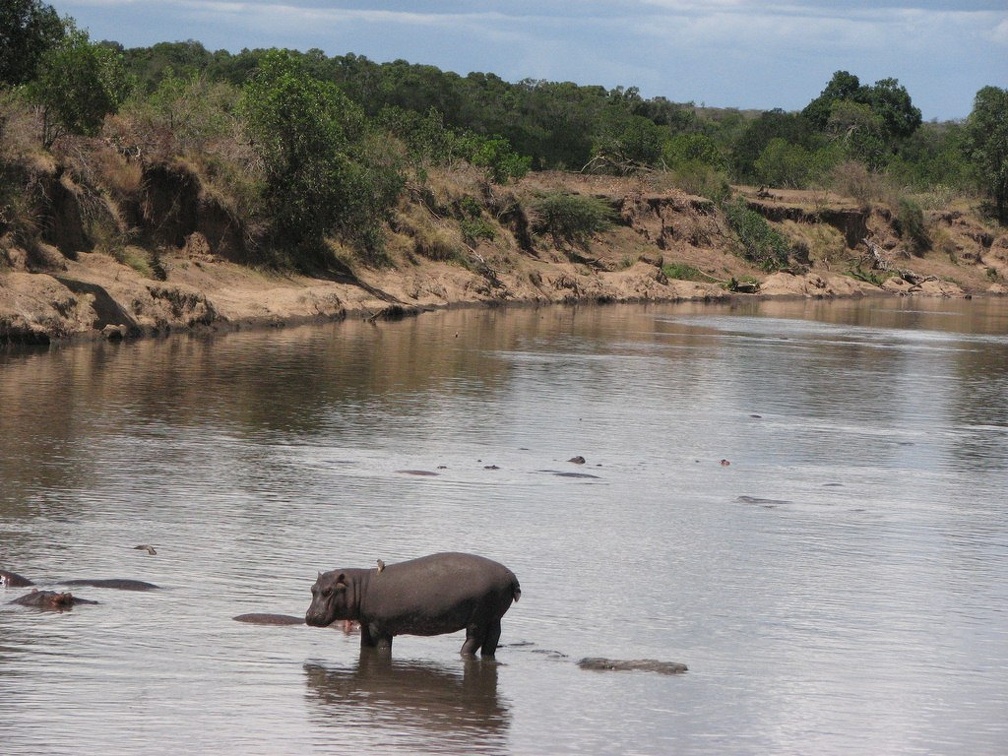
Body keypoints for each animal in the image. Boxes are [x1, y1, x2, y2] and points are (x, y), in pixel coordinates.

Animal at [304, 552, 520, 657]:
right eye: (313, 588)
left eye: (328, 591)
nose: (310, 616)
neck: (358, 587)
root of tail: (510, 576)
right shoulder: (367, 623)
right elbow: (365, 645)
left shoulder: (380, 627)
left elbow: (383, 647)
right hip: (494, 616)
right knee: (492, 639)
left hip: (478, 618)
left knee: (474, 639)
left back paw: (460, 652)